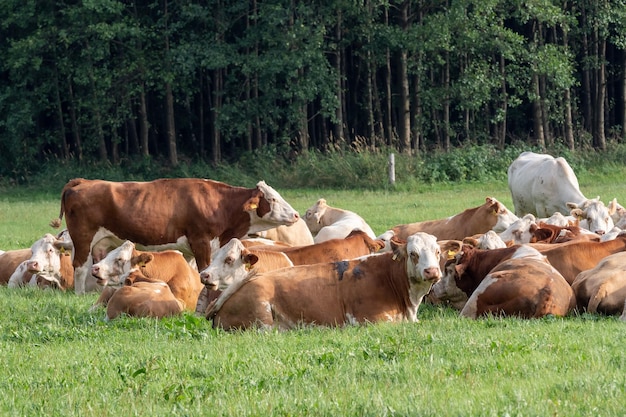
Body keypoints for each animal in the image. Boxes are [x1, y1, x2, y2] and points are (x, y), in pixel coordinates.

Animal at [50, 177, 298, 294]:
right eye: (272, 199)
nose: (296, 215)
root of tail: (83, 181)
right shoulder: (201, 242)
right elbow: (204, 268)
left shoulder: (189, 248)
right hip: (83, 238)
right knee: (80, 267)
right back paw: (79, 293)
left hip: (101, 242)